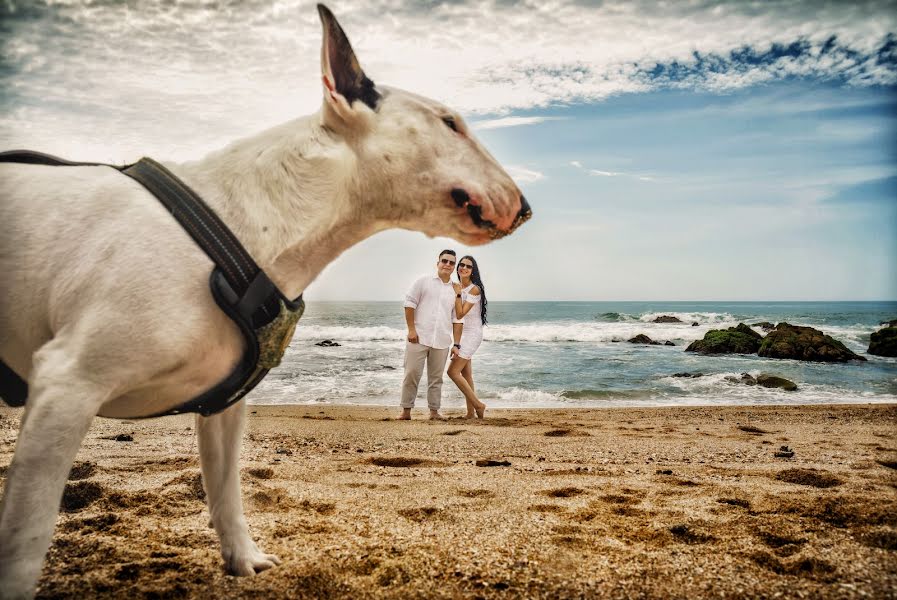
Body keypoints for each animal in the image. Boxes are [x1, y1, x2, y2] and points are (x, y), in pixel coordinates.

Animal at [0, 3, 532, 596]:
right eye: (450, 123)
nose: (527, 207)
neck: (250, 221)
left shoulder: (224, 406)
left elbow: (226, 487)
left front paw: (243, 559)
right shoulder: (66, 385)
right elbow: (26, 536)